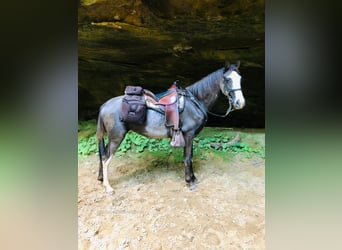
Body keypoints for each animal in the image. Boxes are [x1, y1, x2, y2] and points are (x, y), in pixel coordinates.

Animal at [96, 62, 246, 193]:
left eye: (240, 78)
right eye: (227, 79)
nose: (240, 103)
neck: (194, 102)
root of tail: (104, 105)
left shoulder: (189, 136)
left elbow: (190, 156)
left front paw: (194, 178)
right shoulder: (188, 134)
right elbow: (187, 157)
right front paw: (189, 182)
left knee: (103, 155)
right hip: (117, 136)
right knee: (106, 158)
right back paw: (108, 188)